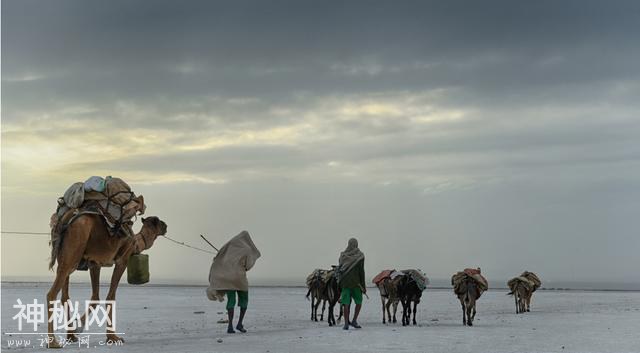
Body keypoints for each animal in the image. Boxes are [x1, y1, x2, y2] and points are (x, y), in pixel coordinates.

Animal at [47, 214, 168, 346]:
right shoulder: (122, 261)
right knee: (52, 293)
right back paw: (53, 342)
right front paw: (112, 337)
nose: (166, 226)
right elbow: (111, 296)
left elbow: (95, 297)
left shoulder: (94, 263)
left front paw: (77, 328)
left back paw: (70, 337)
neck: (136, 243)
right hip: (74, 248)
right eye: (159, 222)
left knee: (65, 296)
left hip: (65, 257)